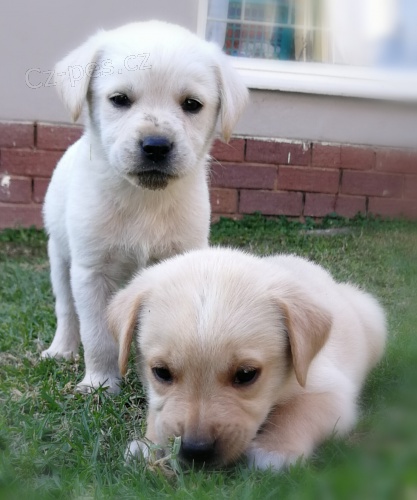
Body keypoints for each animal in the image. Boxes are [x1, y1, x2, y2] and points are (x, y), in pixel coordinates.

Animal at [41, 21, 247, 392]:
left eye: (192, 104)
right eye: (119, 100)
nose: (156, 146)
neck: (144, 201)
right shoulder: (92, 270)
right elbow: (97, 335)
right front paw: (99, 383)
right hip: (60, 259)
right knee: (67, 311)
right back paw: (61, 350)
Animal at [108, 248, 386, 470]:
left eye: (245, 375)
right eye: (162, 372)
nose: (196, 450)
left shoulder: (330, 390)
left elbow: (300, 411)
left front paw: (274, 450)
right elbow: (157, 413)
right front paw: (149, 444)